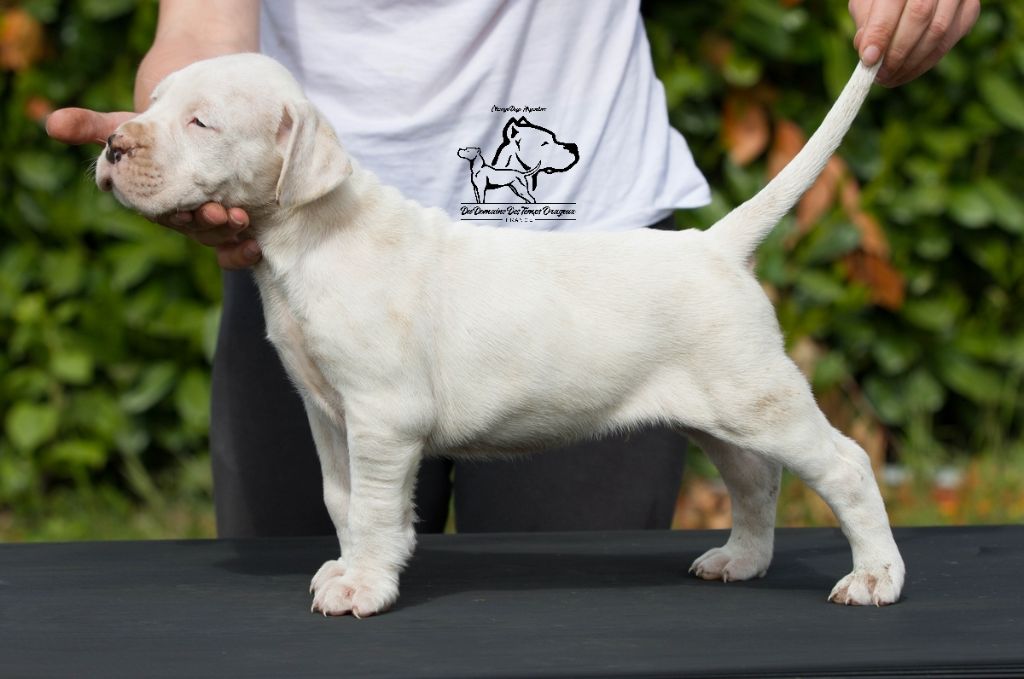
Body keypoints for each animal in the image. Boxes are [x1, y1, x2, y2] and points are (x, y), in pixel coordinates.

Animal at [95, 53, 903, 618]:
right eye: (154, 105)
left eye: (201, 122)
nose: (111, 145)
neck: (312, 235)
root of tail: (715, 245)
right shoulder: (328, 412)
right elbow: (341, 500)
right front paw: (346, 567)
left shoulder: (383, 416)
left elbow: (376, 506)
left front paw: (364, 586)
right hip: (717, 413)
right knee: (755, 479)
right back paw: (741, 560)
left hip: (759, 398)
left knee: (847, 465)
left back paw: (874, 576)